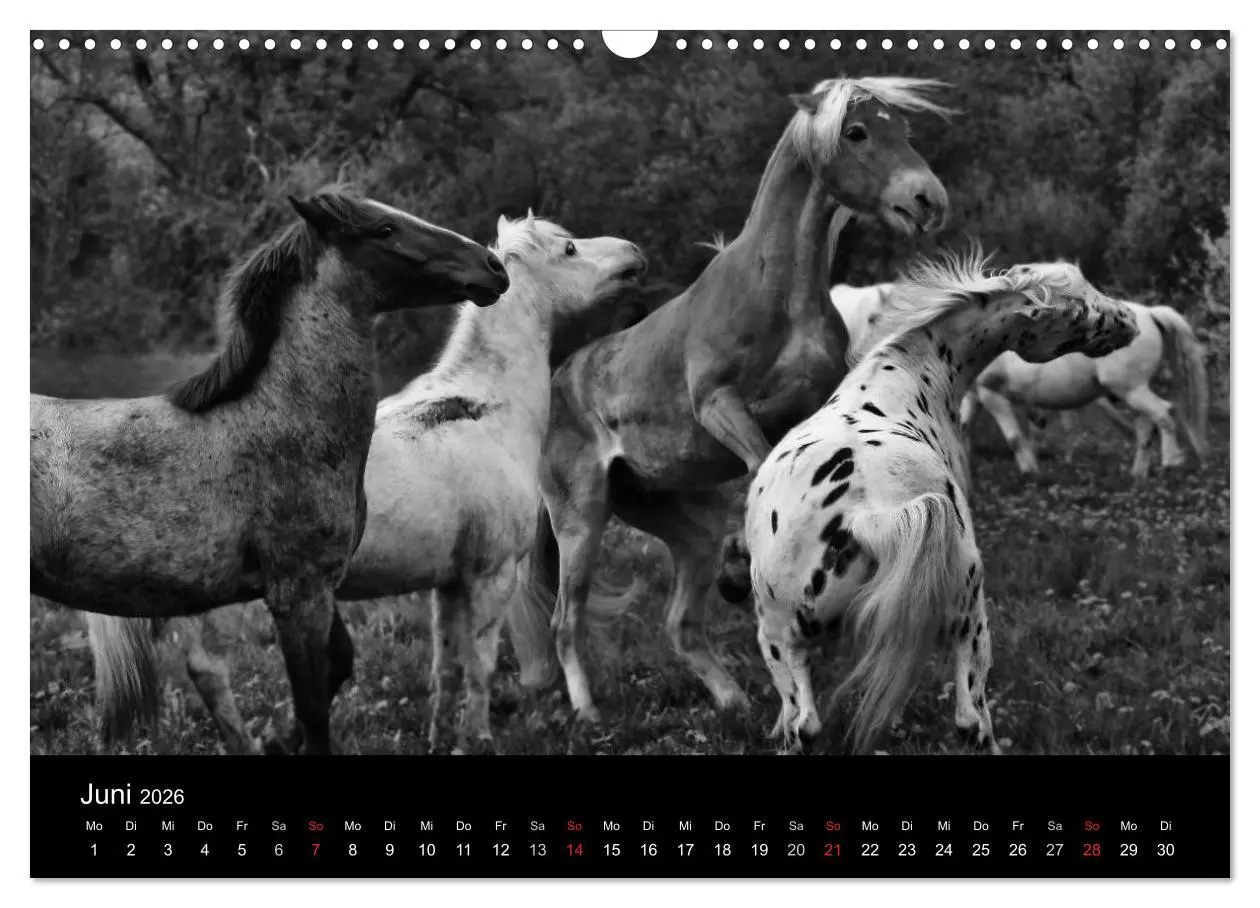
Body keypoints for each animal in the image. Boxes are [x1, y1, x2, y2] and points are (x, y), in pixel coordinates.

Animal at [34, 189, 510, 754]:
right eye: (384, 230)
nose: (492, 267)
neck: (277, 422)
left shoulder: (321, 588)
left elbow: (338, 668)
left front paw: (278, 742)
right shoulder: (298, 594)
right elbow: (313, 708)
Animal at [85, 214, 645, 752]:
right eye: (569, 249)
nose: (634, 253)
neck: (486, 408)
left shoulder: (449, 581)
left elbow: (445, 666)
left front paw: (439, 738)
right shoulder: (492, 574)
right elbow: (480, 667)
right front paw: (477, 739)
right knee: (209, 670)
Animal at [510, 75, 952, 724]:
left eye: (904, 128)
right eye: (856, 132)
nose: (928, 200)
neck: (776, 293)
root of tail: (558, 386)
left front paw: (747, 568)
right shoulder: (719, 404)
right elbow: (760, 463)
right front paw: (746, 566)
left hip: (673, 520)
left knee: (680, 622)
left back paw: (731, 696)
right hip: (581, 520)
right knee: (565, 620)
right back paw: (588, 712)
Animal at [725, 253, 1139, 754]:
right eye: (1079, 307)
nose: (1131, 320)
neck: (895, 383)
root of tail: (864, 514)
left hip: (795, 641)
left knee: (810, 724)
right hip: (965, 626)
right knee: (967, 722)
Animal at [959, 263, 1208, 480]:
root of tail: (1149, 313)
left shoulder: (991, 394)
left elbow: (1015, 438)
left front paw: (1031, 472)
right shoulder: (973, 395)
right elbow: (963, 427)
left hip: (1130, 389)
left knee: (1163, 414)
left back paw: (1170, 462)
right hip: (1134, 392)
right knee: (1146, 427)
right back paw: (1138, 474)